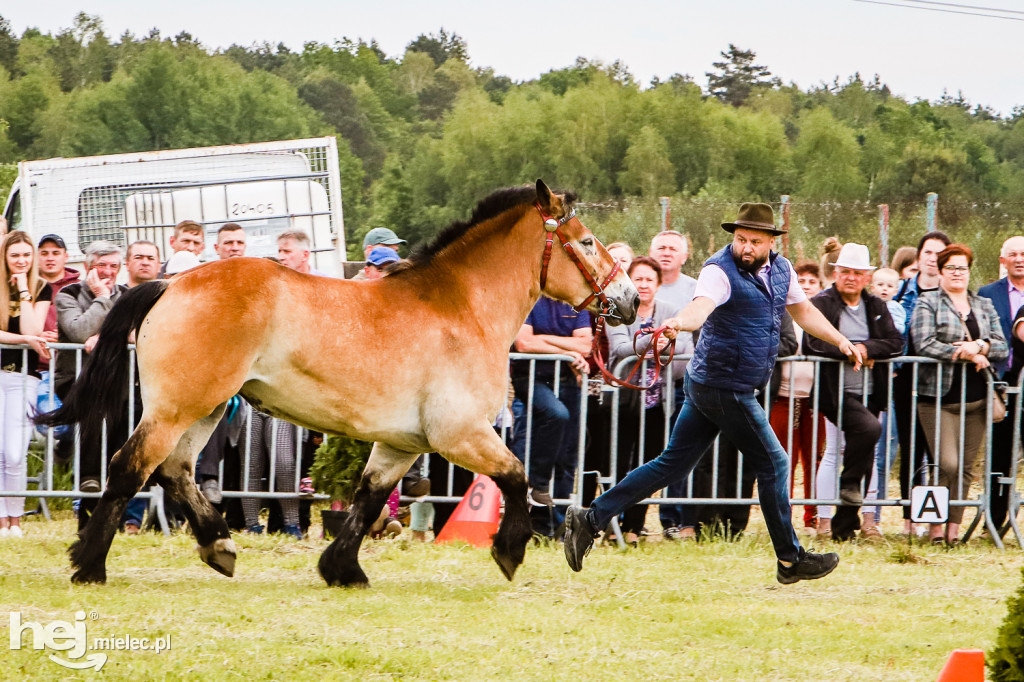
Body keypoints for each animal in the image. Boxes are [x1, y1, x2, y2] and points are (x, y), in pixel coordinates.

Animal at [39, 179, 638, 585]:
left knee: (175, 470)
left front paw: (343, 568)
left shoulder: (403, 443)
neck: (462, 308)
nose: (630, 299)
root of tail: (169, 282)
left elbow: (369, 498)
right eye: (586, 242)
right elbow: (516, 476)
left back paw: (219, 546)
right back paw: (89, 565)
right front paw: (509, 552)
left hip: (204, 408)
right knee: (130, 467)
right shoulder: (460, 434)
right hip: (178, 406)